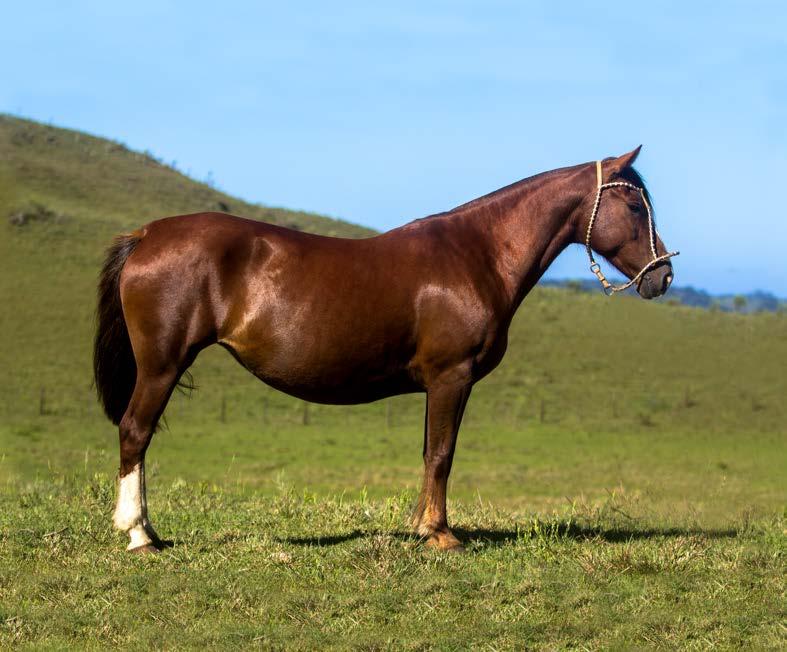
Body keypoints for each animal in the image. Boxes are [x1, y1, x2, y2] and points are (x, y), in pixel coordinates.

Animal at [94, 146, 676, 552]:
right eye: (632, 203)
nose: (663, 275)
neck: (478, 254)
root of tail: (147, 235)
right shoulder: (451, 377)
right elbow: (442, 453)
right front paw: (440, 535)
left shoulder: (442, 384)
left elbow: (429, 452)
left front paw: (421, 526)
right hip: (162, 365)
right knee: (135, 432)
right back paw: (139, 535)